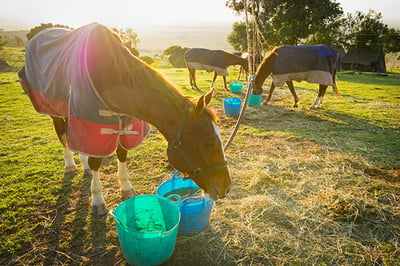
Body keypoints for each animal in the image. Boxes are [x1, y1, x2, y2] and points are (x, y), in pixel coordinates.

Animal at [18, 21, 231, 215]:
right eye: (208, 142)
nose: (226, 187)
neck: (112, 75)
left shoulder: (124, 122)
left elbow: (122, 153)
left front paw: (126, 188)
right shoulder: (92, 120)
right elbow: (96, 161)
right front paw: (97, 200)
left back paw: (82, 163)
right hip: (54, 109)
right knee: (63, 134)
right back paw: (70, 164)